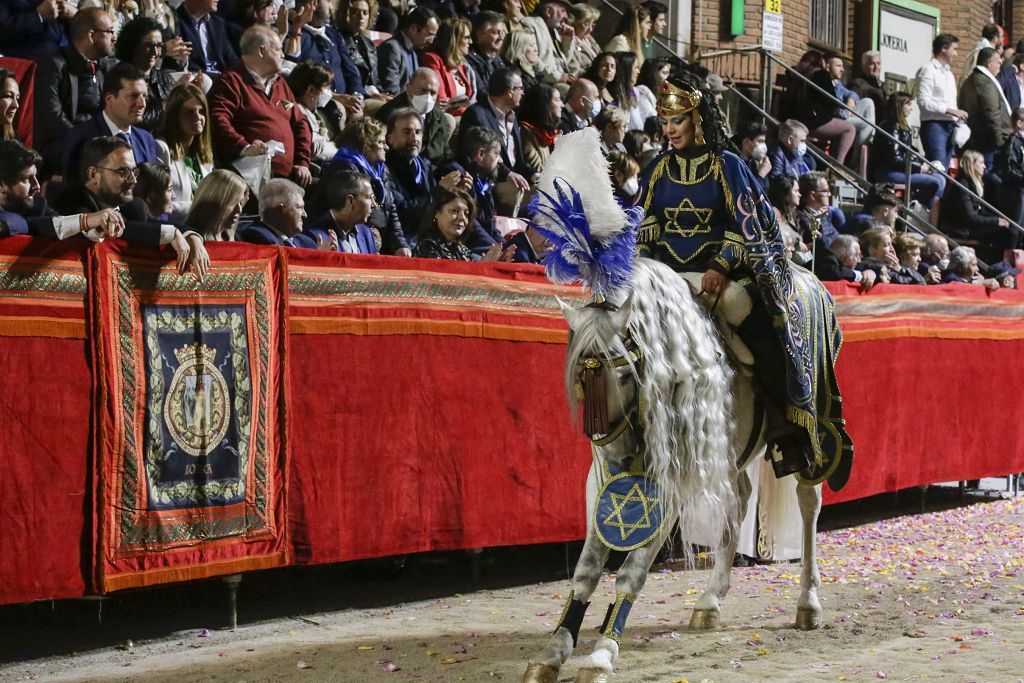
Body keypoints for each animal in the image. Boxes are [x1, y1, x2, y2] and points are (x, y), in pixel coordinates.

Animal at [520, 258, 823, 683]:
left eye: (625, 374)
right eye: (581, 374)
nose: (618, 459)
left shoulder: (667, 489)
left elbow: (630, 572)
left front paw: (601, 654)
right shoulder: (599, 486)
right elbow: (586, 571)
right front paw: (553, 651)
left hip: (809, 431)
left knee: (809, 500)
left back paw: (808, 602)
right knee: (738, 500)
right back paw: (711, 600)